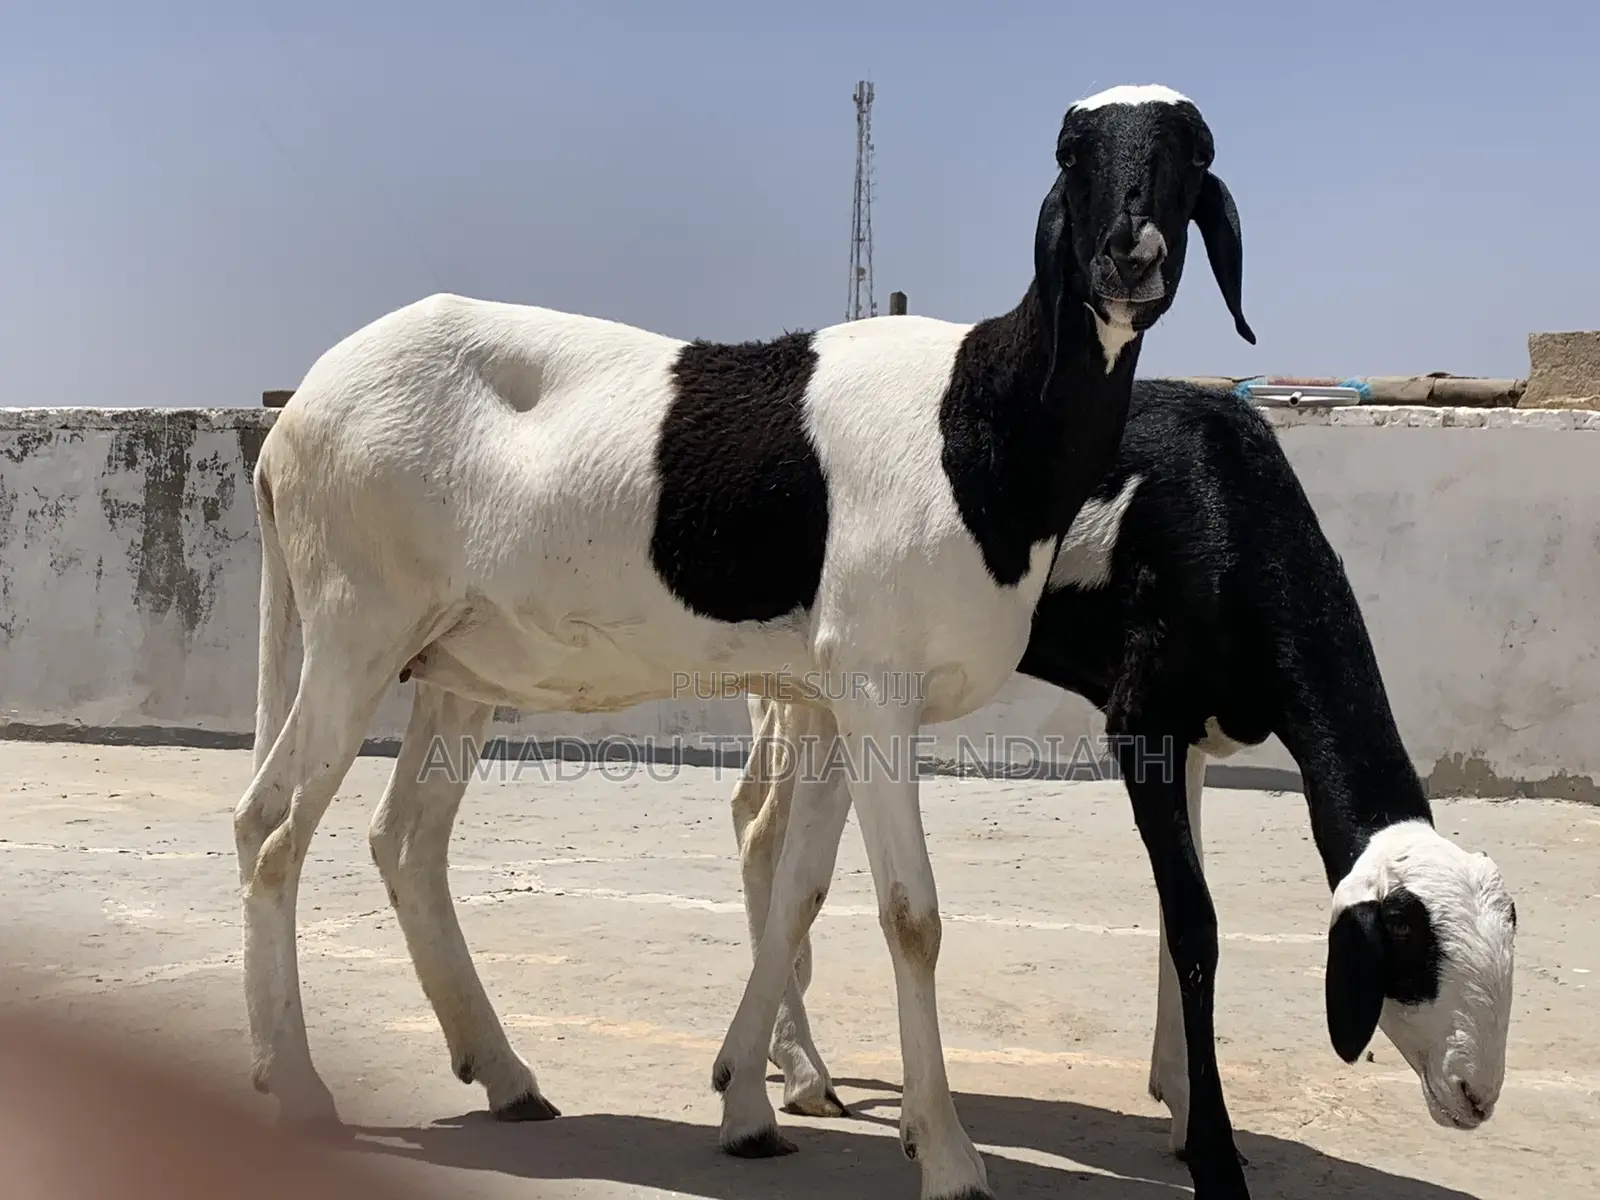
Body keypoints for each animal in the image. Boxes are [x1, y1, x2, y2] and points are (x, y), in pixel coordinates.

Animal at [233, 84, 1254, 1200]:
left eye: (1193, 153)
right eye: (1072, 152)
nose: (1129, 253)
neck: (978, 415)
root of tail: (291, 425)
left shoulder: (834, 696)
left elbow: (800, 891)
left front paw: (748, 1101)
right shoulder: (876, 688)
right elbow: (910, 915)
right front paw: (945, 1155)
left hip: (457, 660)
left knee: (404, 841)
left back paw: (502, 1074)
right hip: (353, 626)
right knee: (269, 828)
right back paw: (300, 1089)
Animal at [731, 379, 1518, 1200]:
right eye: (1405, 943)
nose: (1476, 1097)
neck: (1230, 507)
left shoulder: (1192, 734)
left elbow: (1180, 914)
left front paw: (1182, 1105)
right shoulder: (1143, 721)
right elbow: (1195, 925)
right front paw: (1212, 1153)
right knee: (762, 836)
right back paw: (795, 1069)